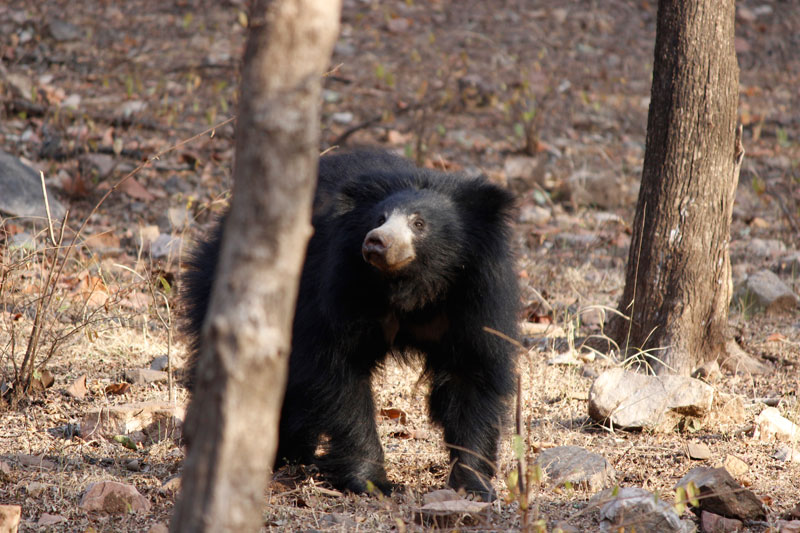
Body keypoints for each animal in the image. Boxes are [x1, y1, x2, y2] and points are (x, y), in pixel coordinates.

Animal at [182, 149, 520, 498]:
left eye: (419, 223)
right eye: (379, 219)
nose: (376, 242)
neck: (410, 287)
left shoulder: (473, 301)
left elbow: (471, 376)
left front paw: (473, 485)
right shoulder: (339, 287)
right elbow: (336, 372)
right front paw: (373, 482)